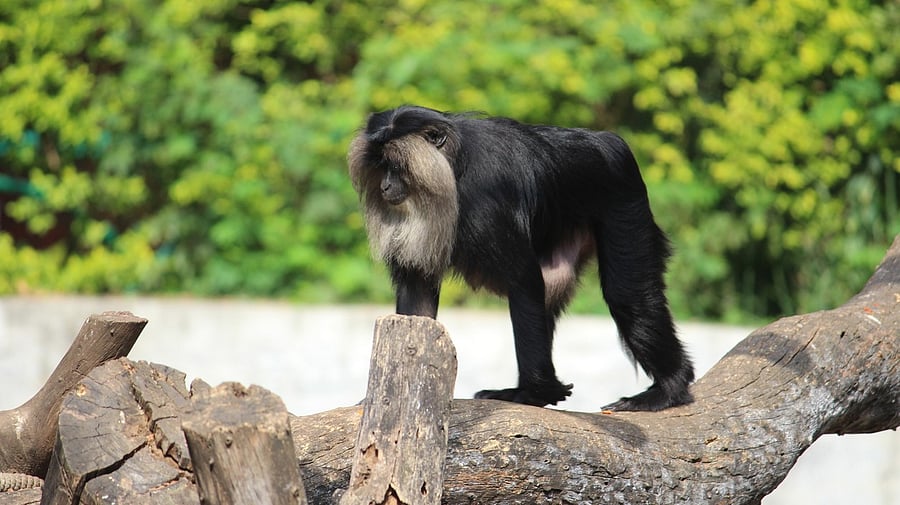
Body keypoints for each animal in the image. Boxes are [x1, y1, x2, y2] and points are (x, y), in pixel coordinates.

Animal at [348, 105, 694, 411]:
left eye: (396, 166)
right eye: (380, 166)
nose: (386, 186)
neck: (454, 167)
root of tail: (607, 142)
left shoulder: (486, 199)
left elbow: (524, 281)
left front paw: (535, 394)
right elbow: (418, 301)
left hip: (624, 197)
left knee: (629, 298)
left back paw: (670, 388)